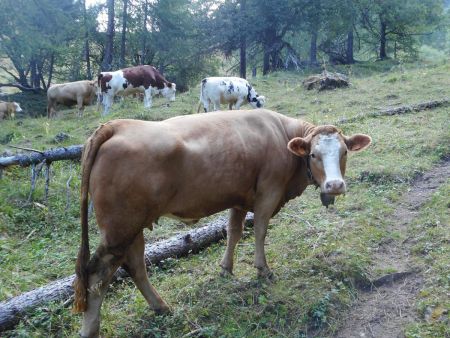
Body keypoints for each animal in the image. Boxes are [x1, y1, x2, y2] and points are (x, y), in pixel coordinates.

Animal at [73, 109, 370, 338]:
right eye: (313, 155)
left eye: (344, 152)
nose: (335, 185)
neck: (282, 134)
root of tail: (116, 125)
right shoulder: (269, 192)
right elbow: (259, 230)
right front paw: (263, 269)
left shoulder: (239, 199)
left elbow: (234, 232)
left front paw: (226, 268)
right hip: (119, 228)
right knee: (98, 275)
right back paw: (90, 329)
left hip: (133, 226)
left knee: (135, 266)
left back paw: (161, 307)